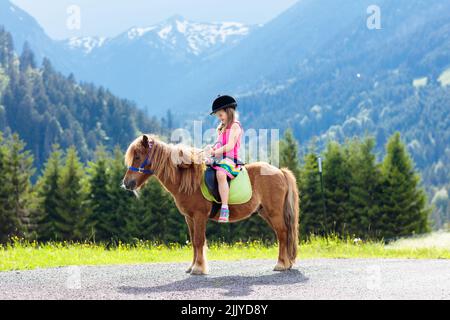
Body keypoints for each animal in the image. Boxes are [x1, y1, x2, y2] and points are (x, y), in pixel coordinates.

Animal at [123, 134, 298, 276]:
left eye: (137, 156)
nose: (126, 183)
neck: (187, 181)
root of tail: (280, 172)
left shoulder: (199, 216)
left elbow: (199, 241)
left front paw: (198, 268)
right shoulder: (189, 218)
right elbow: (194, 242)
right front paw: (192, 266)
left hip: (274, 212)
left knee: (283, 233)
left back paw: (281, 264)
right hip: (266, 213)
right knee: (283, 234)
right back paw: (287, 263)